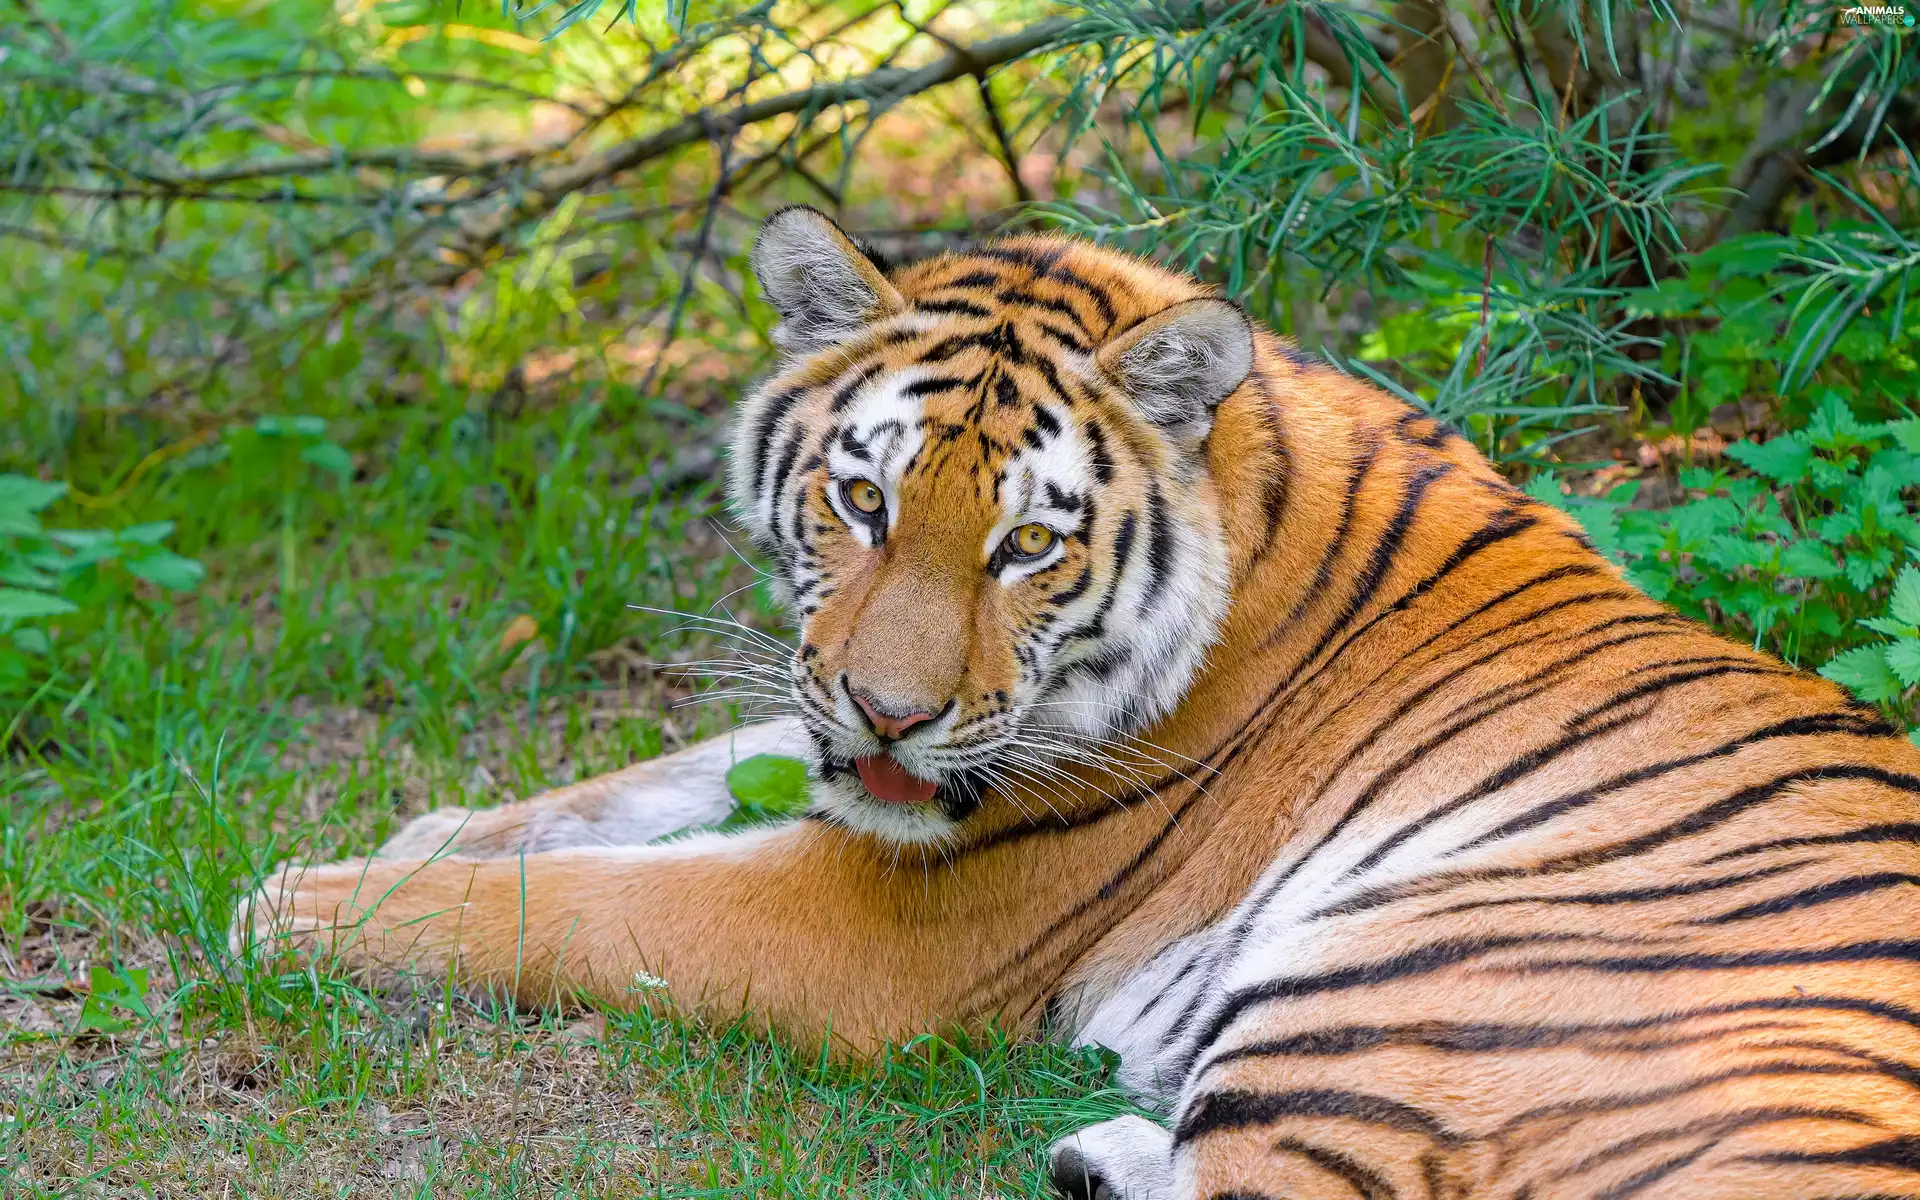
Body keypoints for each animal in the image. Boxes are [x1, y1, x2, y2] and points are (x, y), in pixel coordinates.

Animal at [243, 205, 1920, 1199]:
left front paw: (303, 904)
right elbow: (656, 781)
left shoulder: (879, 932)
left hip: (1403, 980)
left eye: (1027, 546)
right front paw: (428, 833)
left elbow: (589, 902)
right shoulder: (828, 733)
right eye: (862, 501)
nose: (893, 714)